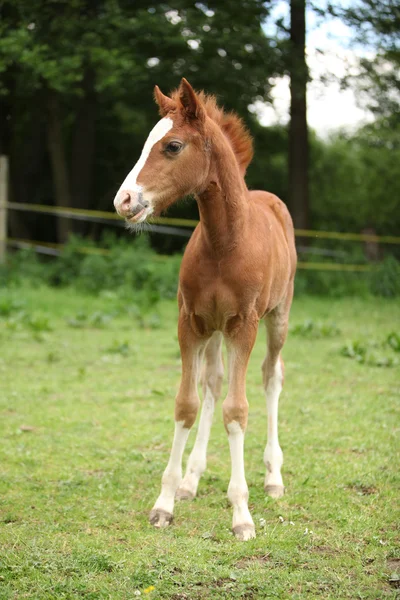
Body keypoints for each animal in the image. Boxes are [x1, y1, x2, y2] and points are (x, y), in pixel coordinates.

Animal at [114, 77, 296, 540]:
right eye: (146, 142)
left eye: (173, 146)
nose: (124, 200)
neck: (225, 242)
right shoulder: (191, 323)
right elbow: (188, 404)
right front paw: (165, 502)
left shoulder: (243, 326)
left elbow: (237, 410)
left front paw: (242, 514)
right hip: (214, 331)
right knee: (212, 382)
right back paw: (192, 480)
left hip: (277, 317)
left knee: (271, 376)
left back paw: (273, 477)